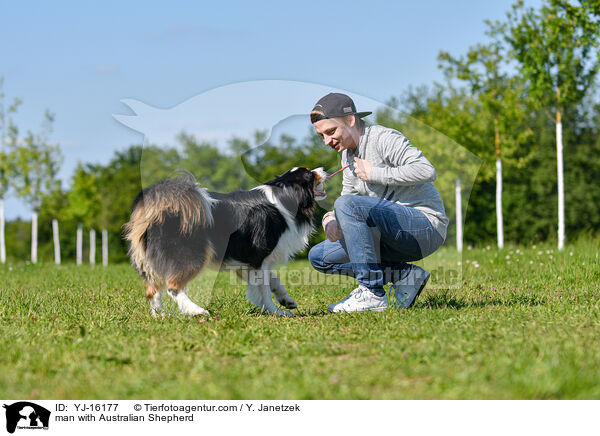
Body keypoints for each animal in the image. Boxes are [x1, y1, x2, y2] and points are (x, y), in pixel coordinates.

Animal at [123, 167, 328, 316]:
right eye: (309, 173)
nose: (324, 168)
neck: (284, 195)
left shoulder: (250, 262)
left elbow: (272, 279)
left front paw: (286, 301)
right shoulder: (259, 256)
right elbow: (264, 289)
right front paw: (276, 312)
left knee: (152, 290)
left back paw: (162, 316)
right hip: (191, 255)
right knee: (174, 287)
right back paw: (197, 311)